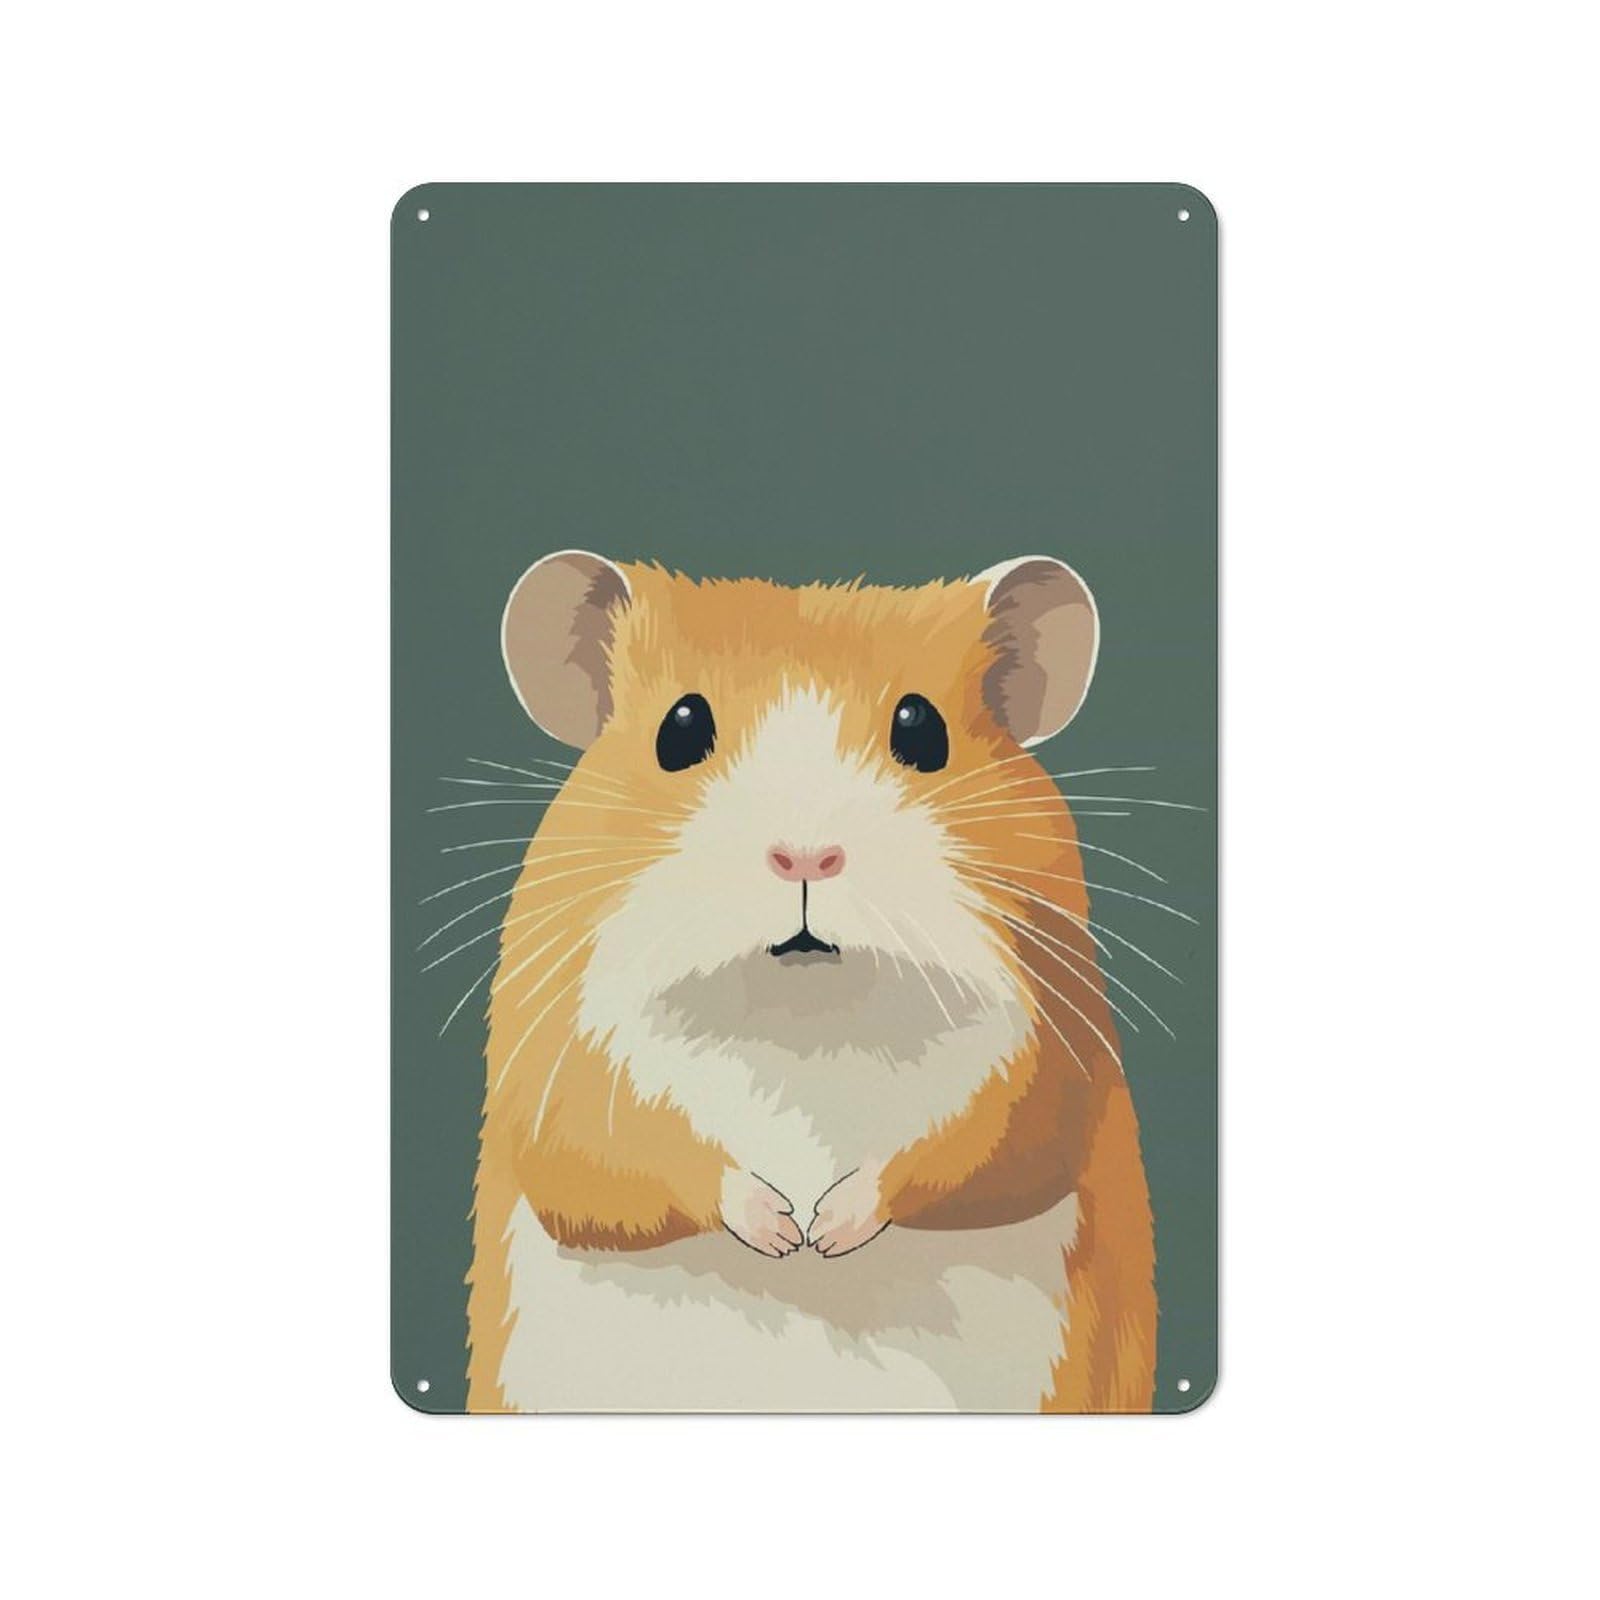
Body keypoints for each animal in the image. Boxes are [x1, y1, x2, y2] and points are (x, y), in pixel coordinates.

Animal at [465, 551, 1156, 1412]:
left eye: (921, 729)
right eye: (679, 729)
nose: (804, 856)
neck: (801, 1020)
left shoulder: (1053, 1053)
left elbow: (987, 1145)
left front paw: (823, 1231)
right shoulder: (550, 1065)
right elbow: (607, 1153)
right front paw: (783, 1231)